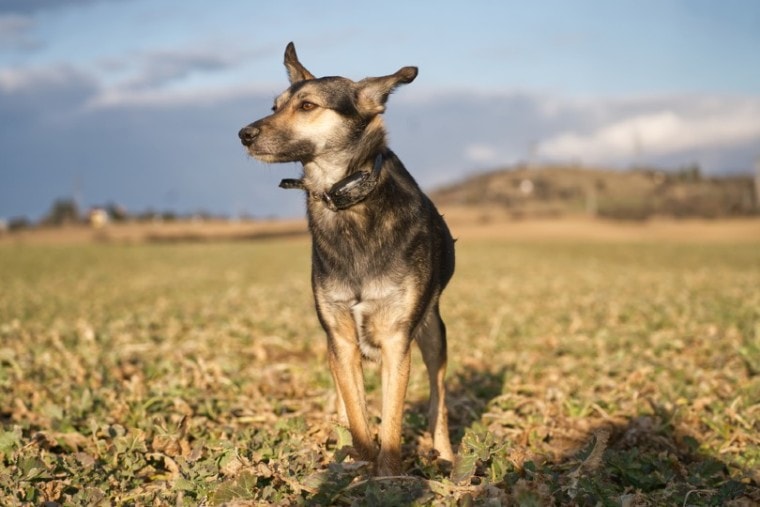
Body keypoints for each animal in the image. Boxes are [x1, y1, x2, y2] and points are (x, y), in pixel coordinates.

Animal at [238, 42, 454, 476]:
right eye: (274, 105)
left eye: (307, 105)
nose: (244, 134)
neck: (346, 201)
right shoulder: (339, 338)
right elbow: (356, 415)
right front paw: (358, 466)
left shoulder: (397, 339)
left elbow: (392, 421)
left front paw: (389, 477)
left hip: (433, 333)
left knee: (438, 402)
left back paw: (446, 457)